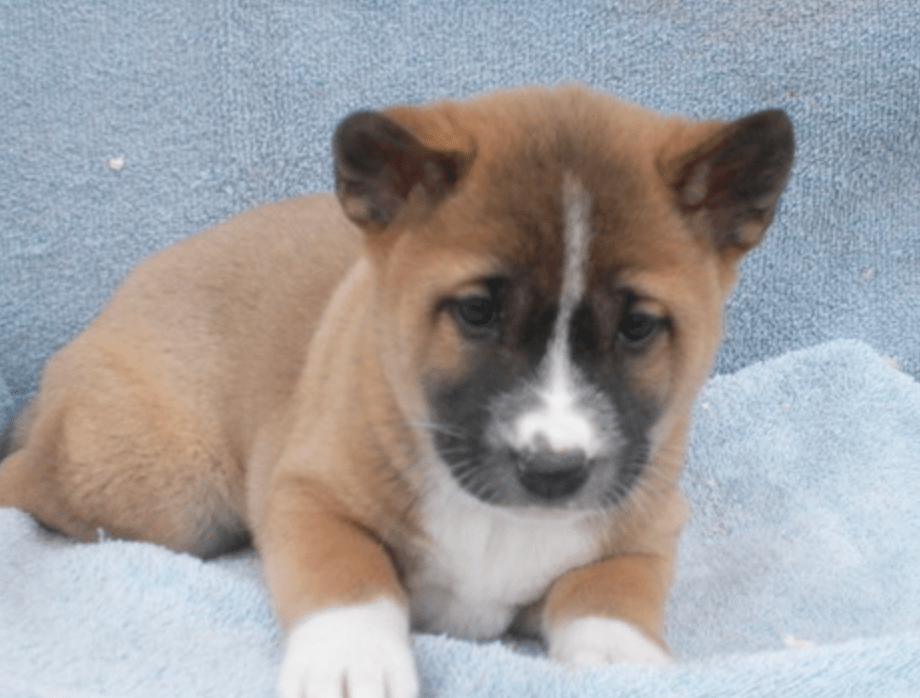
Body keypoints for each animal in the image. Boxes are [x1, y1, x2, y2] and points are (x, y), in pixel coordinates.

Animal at [0, 85, 793, 698]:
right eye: (477, 312)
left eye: (637, 327)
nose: (552, 471)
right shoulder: (309, 496)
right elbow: (351, 581)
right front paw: (350, 661)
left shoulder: (645, 532)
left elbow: (610, 599)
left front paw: (621, 663)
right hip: (167, 496)